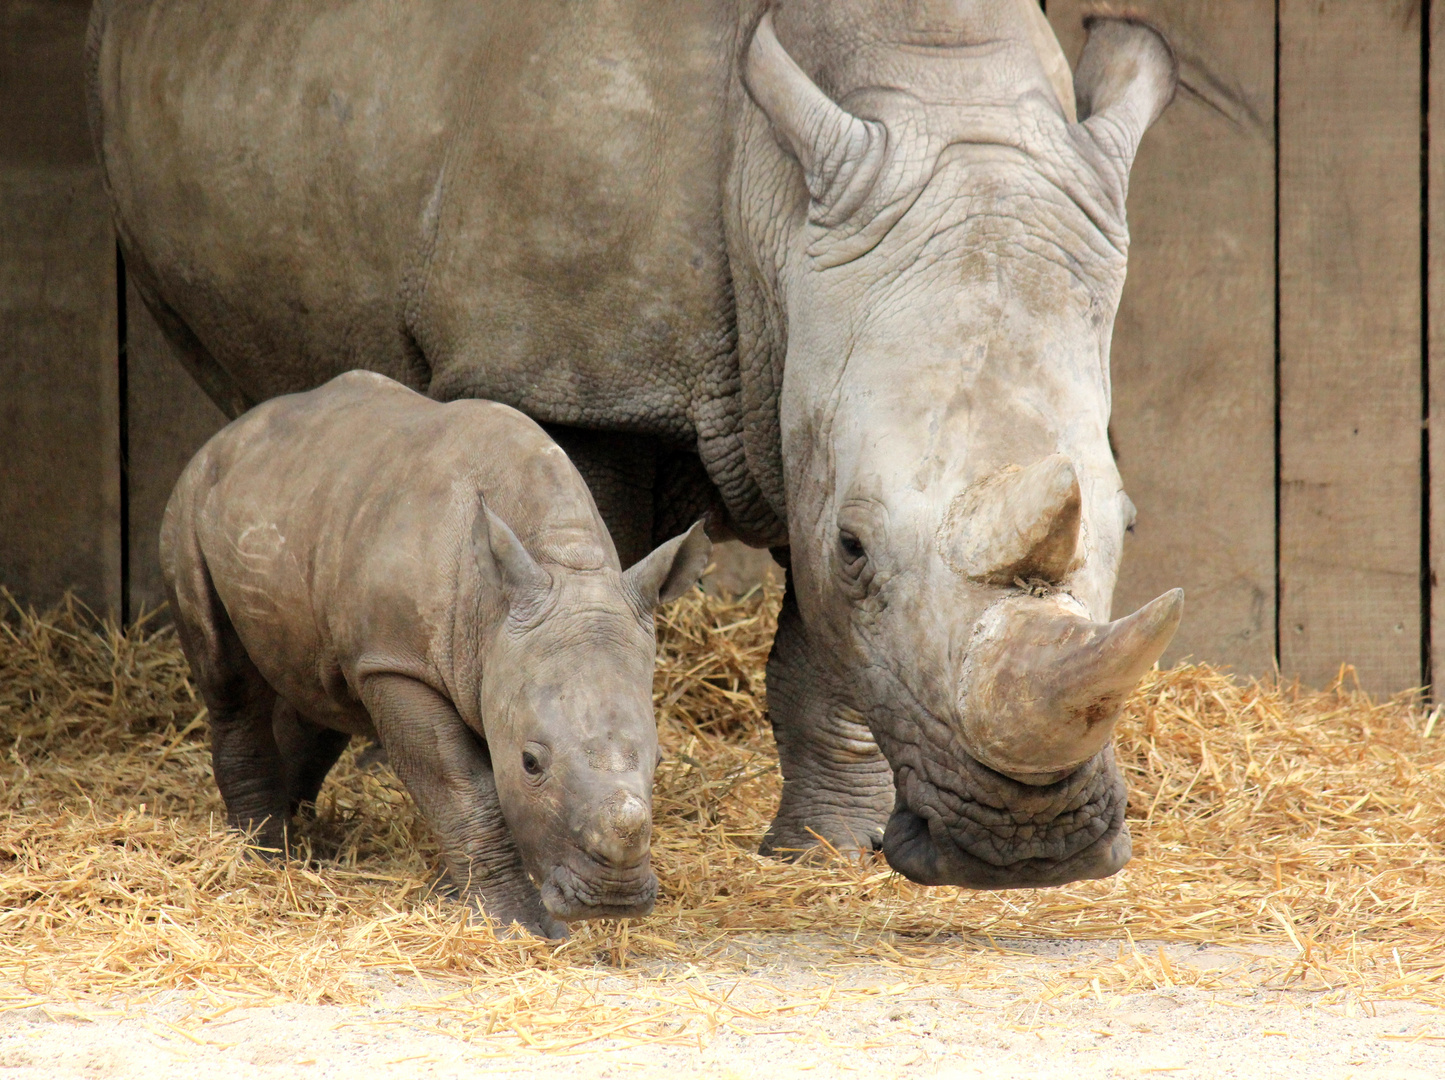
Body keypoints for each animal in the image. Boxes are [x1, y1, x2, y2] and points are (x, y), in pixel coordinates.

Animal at [159, 373, 710, 936]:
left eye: (660, 759)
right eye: (531, 763)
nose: (610, 900)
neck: (558, 562)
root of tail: (230, 432)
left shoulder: (464, 659)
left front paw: (454, 895)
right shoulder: (397, 664)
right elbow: (460, 783)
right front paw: (520, 924)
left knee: (321, 689)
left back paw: (294, 835)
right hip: (190, 502)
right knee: (229, 678)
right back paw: (264, 857)